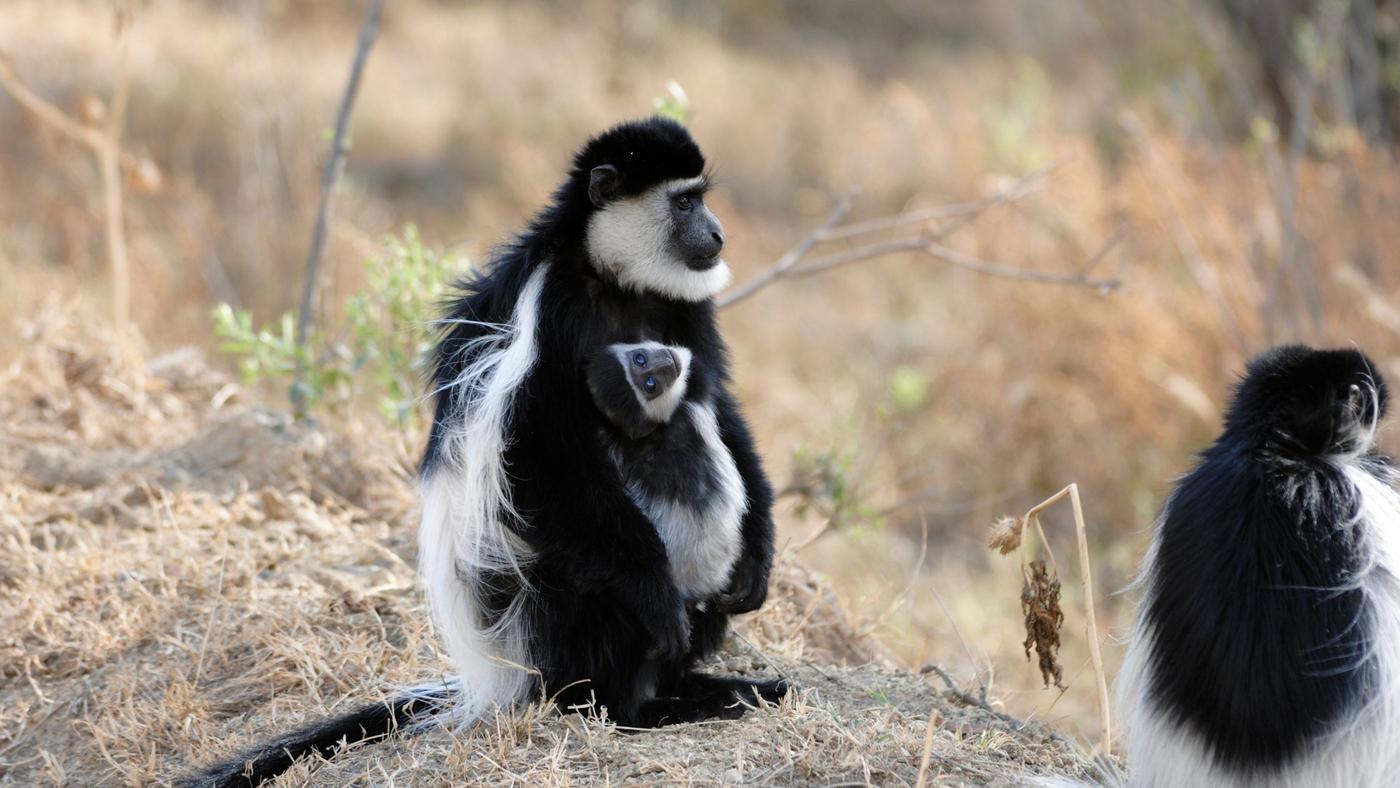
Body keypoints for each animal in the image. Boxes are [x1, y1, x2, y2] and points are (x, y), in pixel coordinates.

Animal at [186, 118, 785, 787]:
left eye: (700, 197)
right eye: (684, 203)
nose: (718, 234)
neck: (610, 278)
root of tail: (500, 677)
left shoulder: (682, 307)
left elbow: (720, 403)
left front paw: (758, 560)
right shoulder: (551, 312)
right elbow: (531, 455)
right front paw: (654, 590)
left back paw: (711, 688)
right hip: (543, 607)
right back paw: (636, 707)